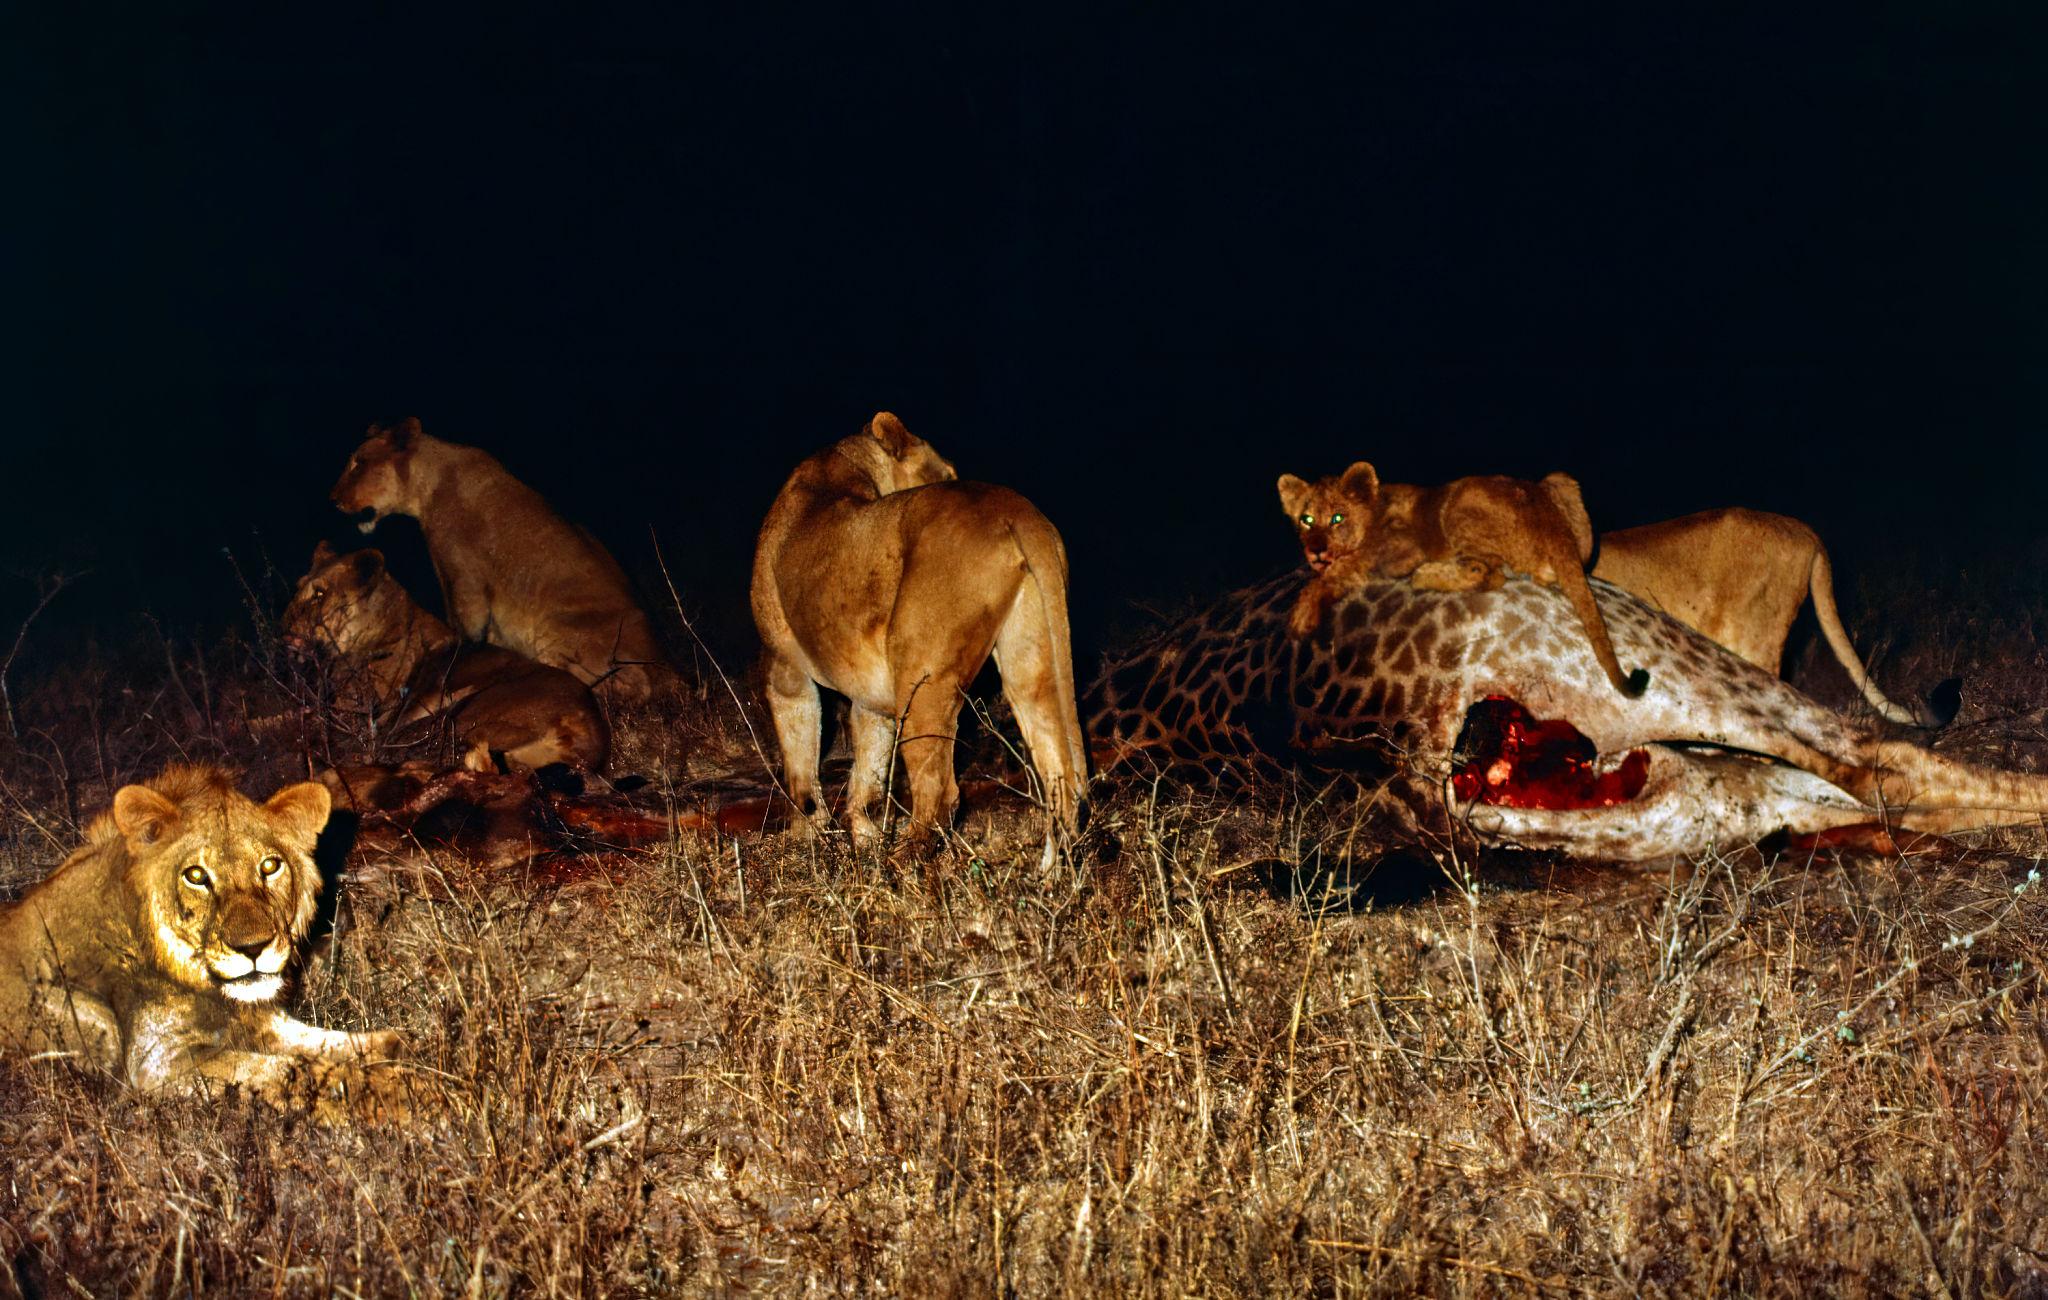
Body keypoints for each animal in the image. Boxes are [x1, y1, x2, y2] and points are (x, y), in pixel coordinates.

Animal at [0, 765, 410, 1121]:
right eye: (196, 876)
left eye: (270, 866)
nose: (253, 948)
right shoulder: (157, 1064)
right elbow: (291, 1071)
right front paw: (395, 1092)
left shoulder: (261, 1019)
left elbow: (335, 1042)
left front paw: (400, 1050)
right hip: (94, 1020)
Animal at [330, 417, 671, 703]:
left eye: (359, 463)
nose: (332, 500)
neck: (427, 487)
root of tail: (669, 670)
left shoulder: (463, 577)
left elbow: (464, 631)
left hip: (559, 628)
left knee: (630, 685)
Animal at [751, 411, 1088, 854]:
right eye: (944, 473)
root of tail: (1016, 513)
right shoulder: (870, 695)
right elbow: (869, 774)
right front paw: (864, 841)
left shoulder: (784, 667)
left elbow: (801, 766)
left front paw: (809, 838)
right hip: (1031, 659)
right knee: (1060, 774)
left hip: (922, 676)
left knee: (940, 792)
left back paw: (904, 861)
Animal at [1278, 462, 1649, 697]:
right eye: (1306, 519)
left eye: (1338, 518)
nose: (1316, 552)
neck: (1374, 512)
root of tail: (1550, 520)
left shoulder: (1400, 550)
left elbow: (1345, 566)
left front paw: (1301, 614)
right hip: (1563, 483)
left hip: (1460, 501)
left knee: (1488, 574)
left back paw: (1427, 576)